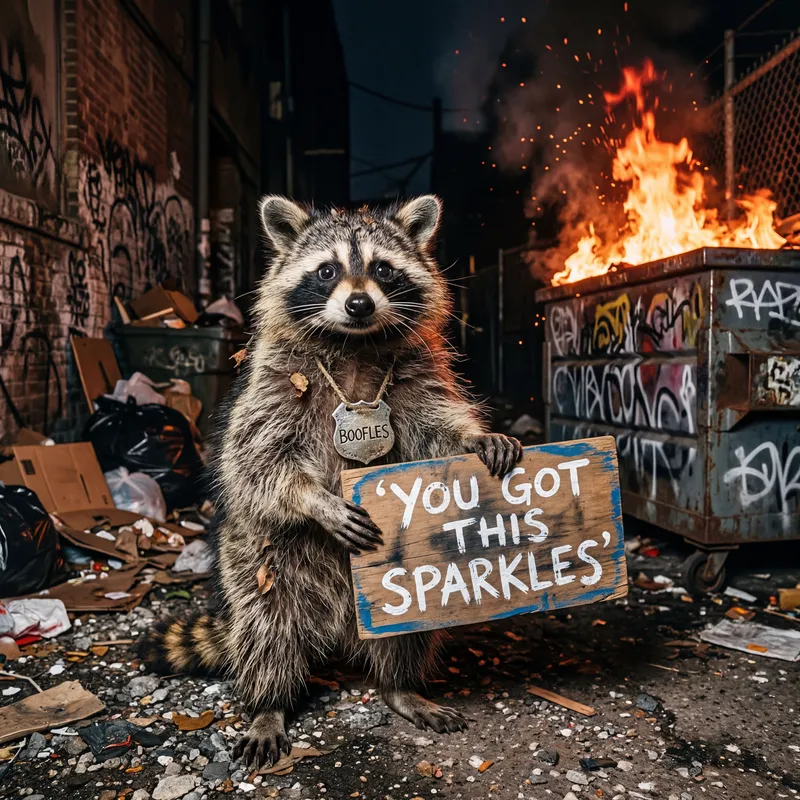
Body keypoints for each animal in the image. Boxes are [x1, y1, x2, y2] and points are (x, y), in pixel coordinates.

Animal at [140, 195, 522, 767]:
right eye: (326, 271)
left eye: (383, 269)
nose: (360, 304)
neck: (354, 344)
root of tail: (339, 628)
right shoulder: (272, 383)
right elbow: (256, 460)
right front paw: (314, 500)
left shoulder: (417, 372)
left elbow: (435, 426)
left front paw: (474, 438)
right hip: (255, 562)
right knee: (265, 626)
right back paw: (269, 703)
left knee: (407, 630)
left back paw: (399, 685)